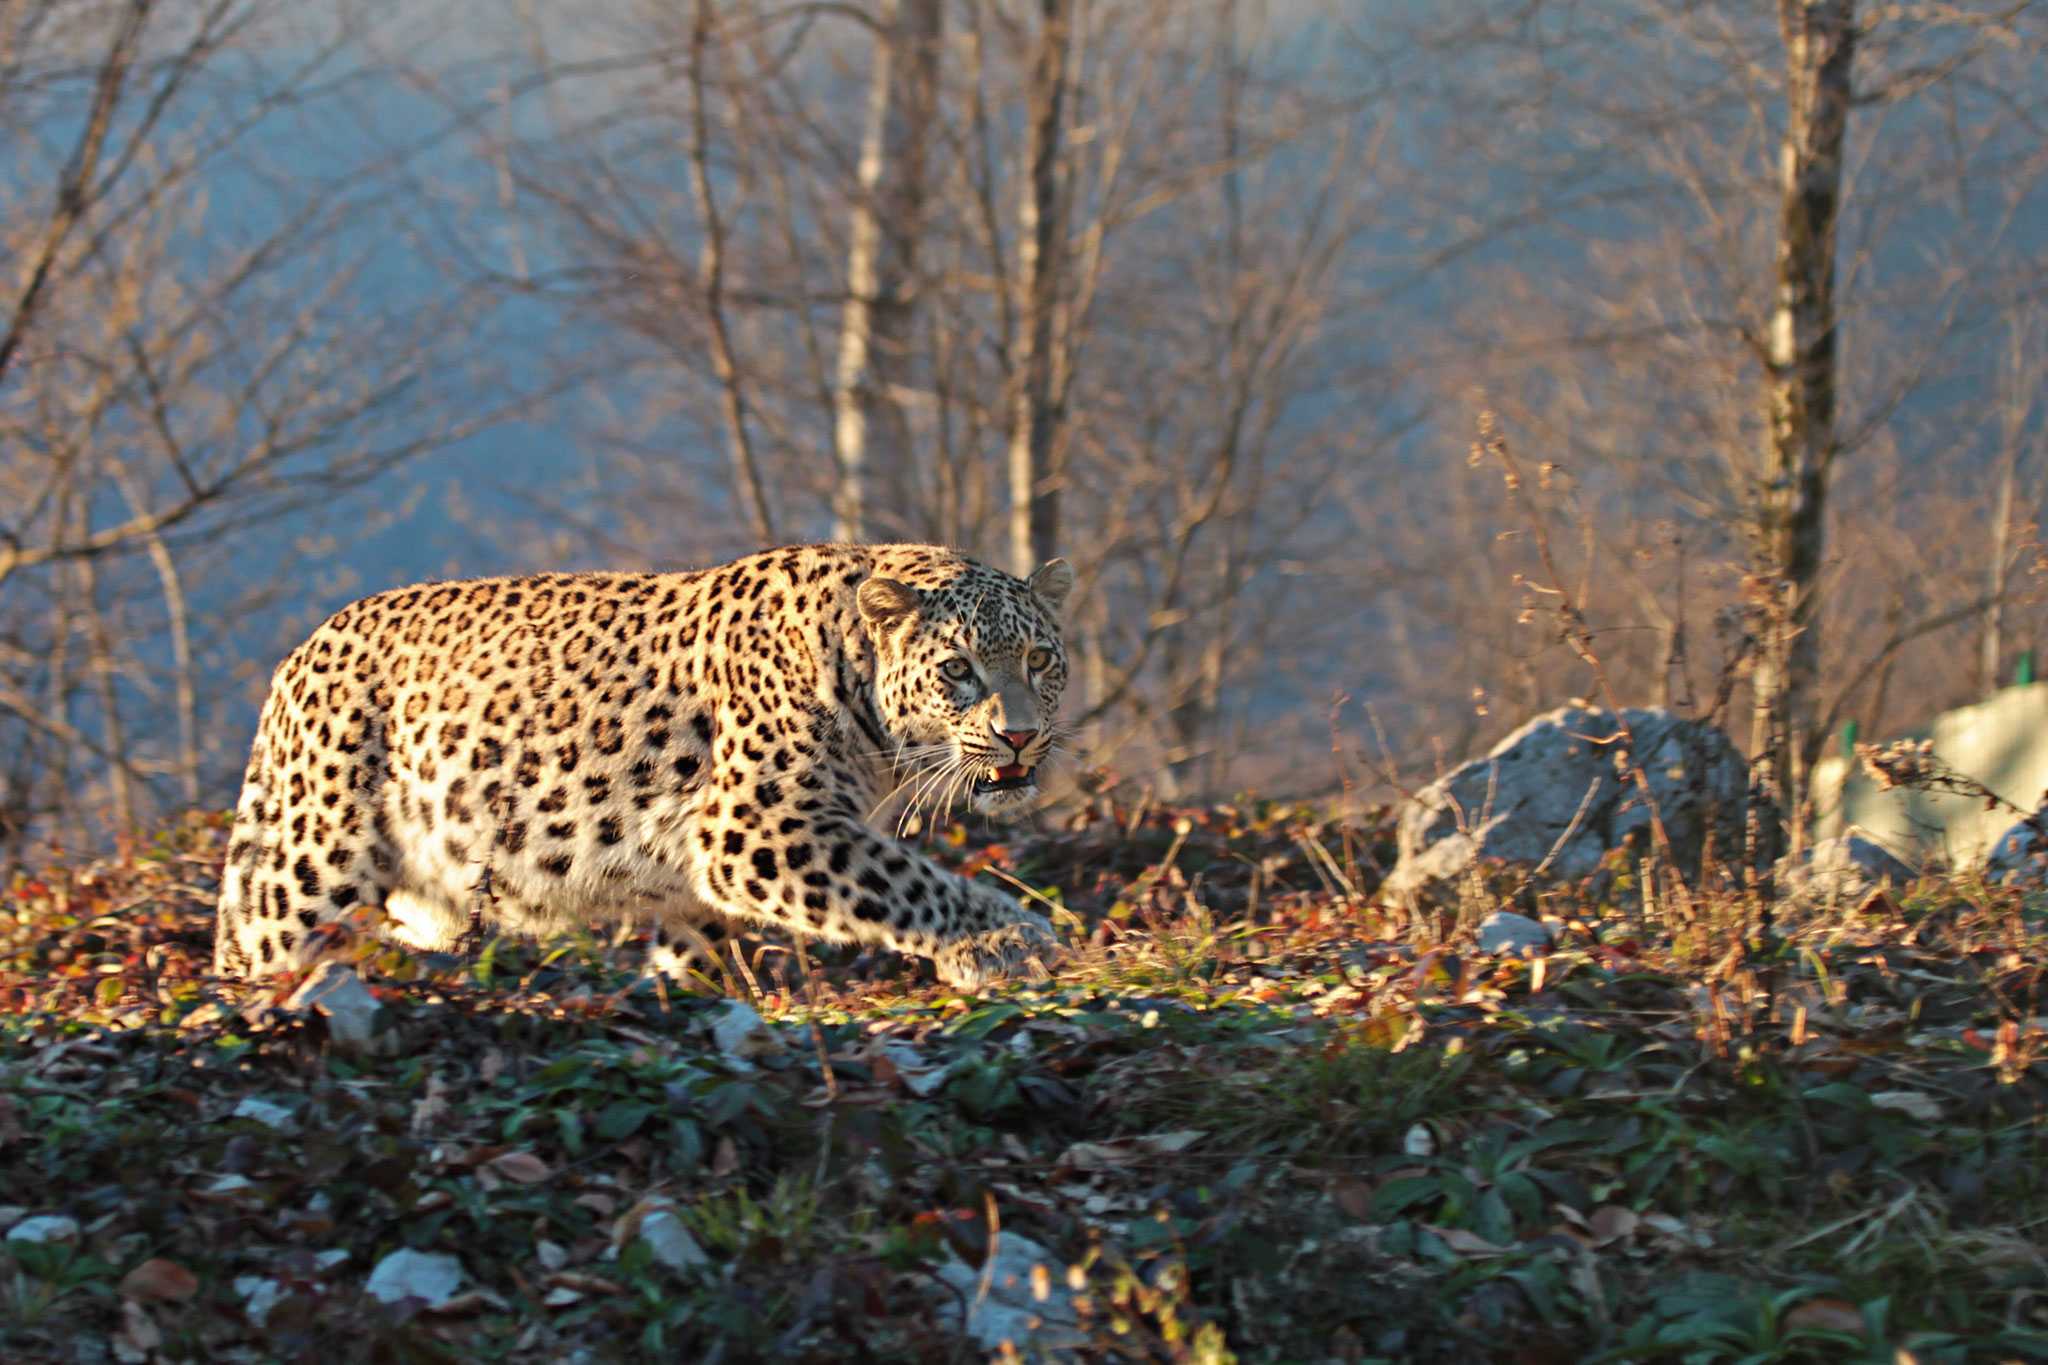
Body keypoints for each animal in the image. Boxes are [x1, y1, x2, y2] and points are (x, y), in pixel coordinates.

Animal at [211, 544, 1073, 994]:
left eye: (1039, 658)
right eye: (957, 669)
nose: (1020, 737)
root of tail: (300, 654)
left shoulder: (709, 873)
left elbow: (695, 949)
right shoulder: (758, 825)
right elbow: (909, 882)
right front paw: (1012, 940)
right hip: (308, 866)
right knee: (251, 950)